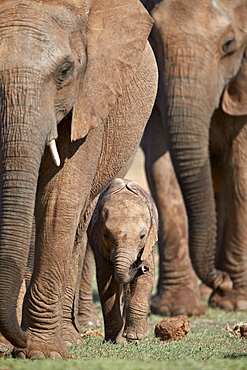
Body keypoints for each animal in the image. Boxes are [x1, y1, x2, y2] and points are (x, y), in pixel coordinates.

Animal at [88, 178, 158, 342]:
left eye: (142, 236)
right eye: (106, 235)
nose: (141, 268)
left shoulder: (148, 243)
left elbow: (146, 279)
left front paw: (135, 337)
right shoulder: (98, 241)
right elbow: (106, 279)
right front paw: (114, 340)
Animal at [141, 0, 247, 316]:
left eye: (228, 45)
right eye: (154, 39)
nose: (222, 281)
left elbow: (241, 173)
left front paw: (235, 302)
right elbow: (161, 170)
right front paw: (177, 310)